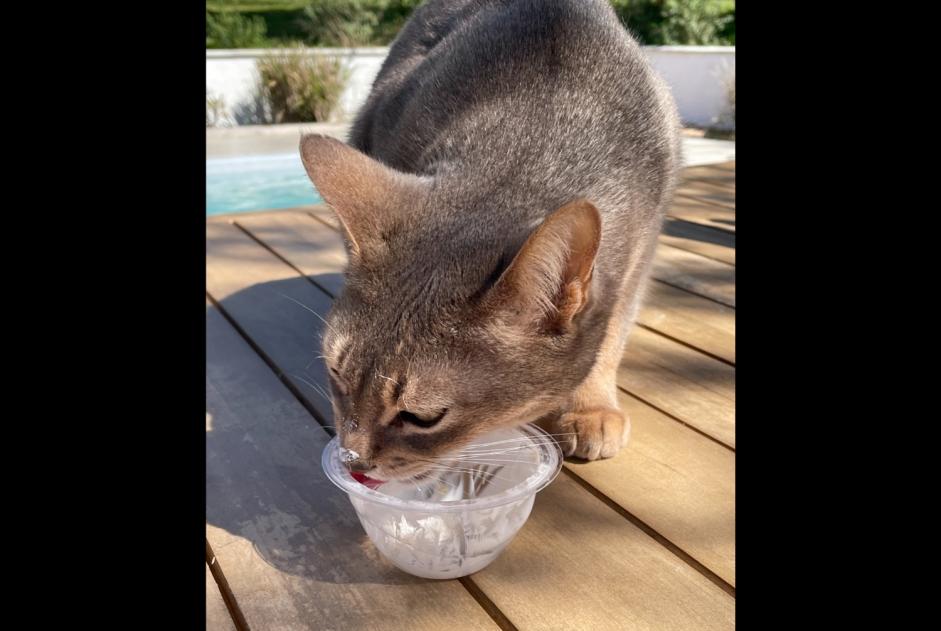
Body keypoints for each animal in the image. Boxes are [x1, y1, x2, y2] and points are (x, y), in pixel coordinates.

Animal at [302, 0, 676, 482]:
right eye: (336, 375)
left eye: (423, 417)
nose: (354, 463)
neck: (536, 133)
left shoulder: (643, 242)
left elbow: (611, 332)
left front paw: (590, 406)